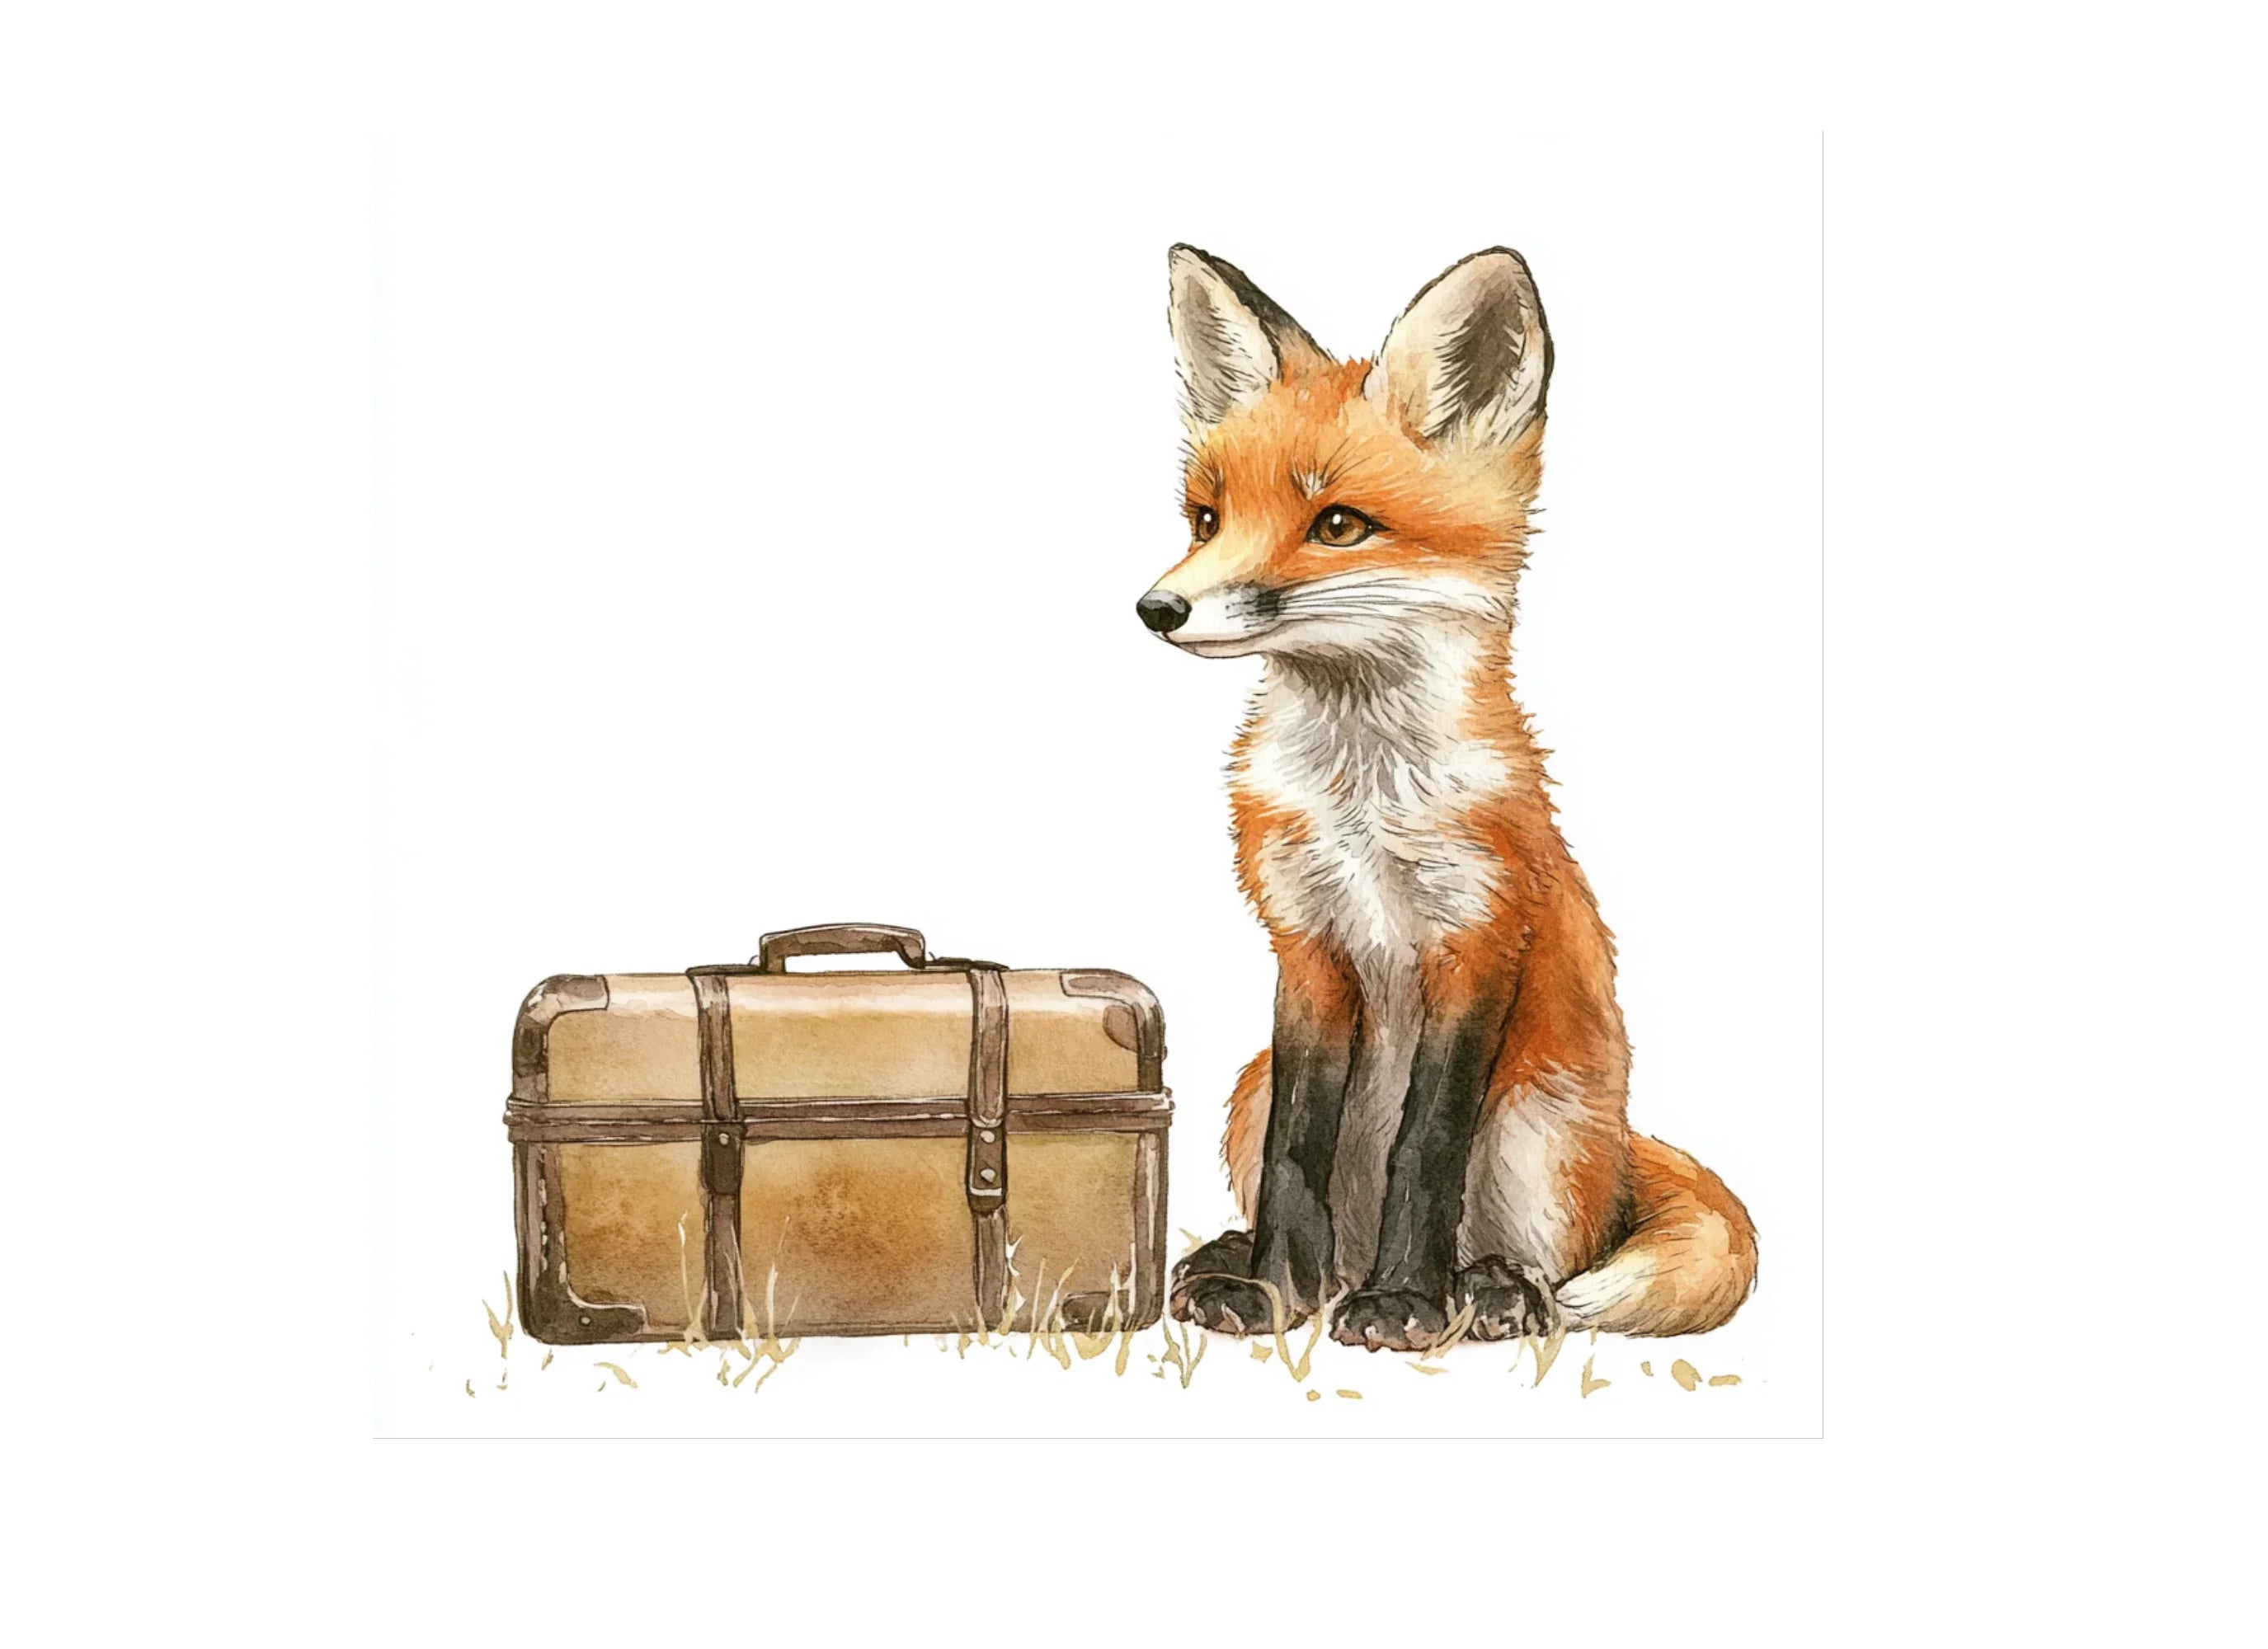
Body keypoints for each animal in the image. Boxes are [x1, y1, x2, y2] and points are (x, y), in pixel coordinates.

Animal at [1140, 245, 1757, 1352]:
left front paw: (1403, 1303)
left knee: (1554, 1260)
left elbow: (1422, 1145)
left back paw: (1486, 1290)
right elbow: (1300, 1149)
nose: (1156, 607)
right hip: (1246, 1085)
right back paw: (1246, 1265)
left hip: (1539, 1126)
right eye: (1205, 519)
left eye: (1338, 524)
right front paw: (1275, 1292)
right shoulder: (1305, 943)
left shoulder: (1476, 935)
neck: (1361, 802)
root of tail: (1621, 1143)